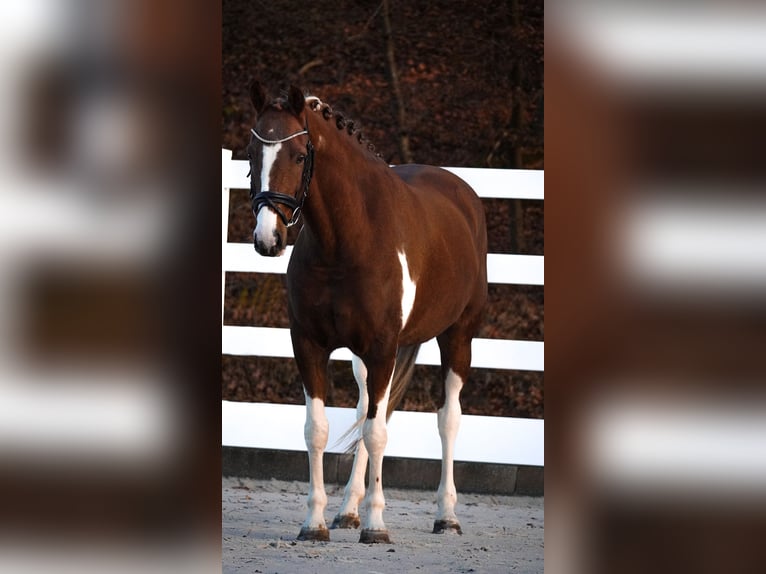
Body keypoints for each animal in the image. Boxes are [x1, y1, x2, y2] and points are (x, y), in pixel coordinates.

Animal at [248, 82, 486, 544]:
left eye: (299, 156)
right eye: (252, 152)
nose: (268, 239)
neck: (347, 240)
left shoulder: (381, 348)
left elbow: (377, 434)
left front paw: (377, 526)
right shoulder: (310, 345)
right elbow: (319, 430)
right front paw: (316, 523)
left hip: (457, 337)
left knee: (447, 419)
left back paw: (446, 517)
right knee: (364, 411)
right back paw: (348, 511)